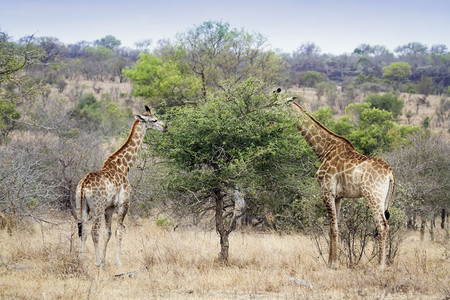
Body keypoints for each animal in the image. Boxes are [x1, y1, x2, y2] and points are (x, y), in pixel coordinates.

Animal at [75, 105, 165, 268]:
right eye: (154, 120)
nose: (166, 127)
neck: (124, 166)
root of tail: (84, 185)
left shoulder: (109, 208)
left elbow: (108, 233)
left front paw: (105, 262)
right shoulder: (123, 204)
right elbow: (119, 232)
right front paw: (117, 263)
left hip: (82, 206)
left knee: (83, 231)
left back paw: (82, 260)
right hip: (97, 207)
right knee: (93, 232)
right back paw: (96, 263)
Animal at [288, 99, 394, 270]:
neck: (324, 150)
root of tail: (390, 173)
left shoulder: (327, 191)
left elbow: (333, 227)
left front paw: (335, 264)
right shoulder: (338, 196)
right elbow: (334, 227)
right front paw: (330, 262)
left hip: (373, 195)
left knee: (382, 226)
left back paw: (380, 266)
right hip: (383, 198)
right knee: (385, 224)